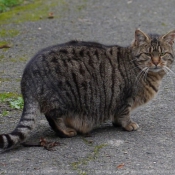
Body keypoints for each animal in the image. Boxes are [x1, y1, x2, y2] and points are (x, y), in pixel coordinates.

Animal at [0, 29, 175, 150]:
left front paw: (117, 123)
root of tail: (26, 77)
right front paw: (128, 125)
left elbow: (117, 115)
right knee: (54, 117)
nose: (156, 62)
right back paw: (67, 131)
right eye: (148, 54)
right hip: (61, 100)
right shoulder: (126, 98)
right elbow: (124, 114)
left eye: (163, 54)